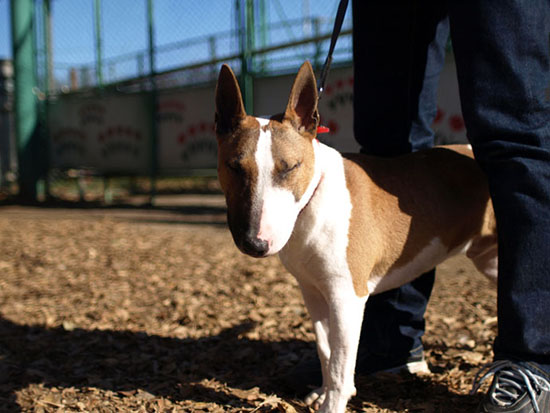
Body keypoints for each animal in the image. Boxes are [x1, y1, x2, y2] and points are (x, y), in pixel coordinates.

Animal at [216, 62, 500, 412]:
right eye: (234, 167)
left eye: (290, 167)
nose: (255, 244)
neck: (312, 199)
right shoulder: (314, 292)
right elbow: (326, 351)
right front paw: (321, 393)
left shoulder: (347, 297)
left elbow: (341, 365)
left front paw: (332, 404)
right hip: (489, 259)